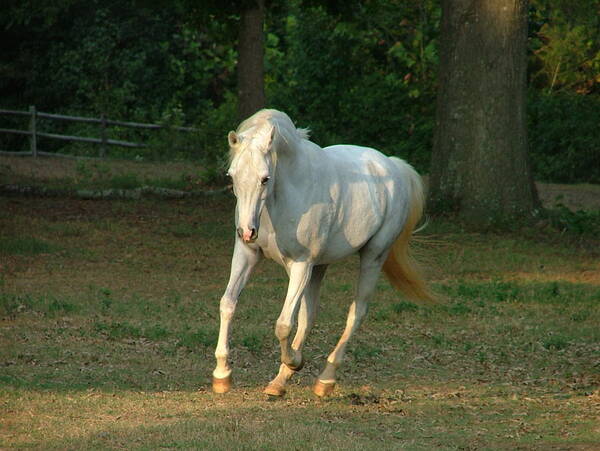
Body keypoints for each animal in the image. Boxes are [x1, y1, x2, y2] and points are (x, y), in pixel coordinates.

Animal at [211, 109, 432, 400]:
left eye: (265, 178)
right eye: (232, 176)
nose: (247, 231)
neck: (284, 196)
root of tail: (393, 166)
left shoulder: (301, 264)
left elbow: (283, 324)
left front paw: (295, 361)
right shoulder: (247, 254)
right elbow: (228, 303)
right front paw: (222, 375)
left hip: (373, 256)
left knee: (356, 312)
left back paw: (325, 379)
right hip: (320, 266)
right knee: (309, 316)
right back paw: (279, 382)